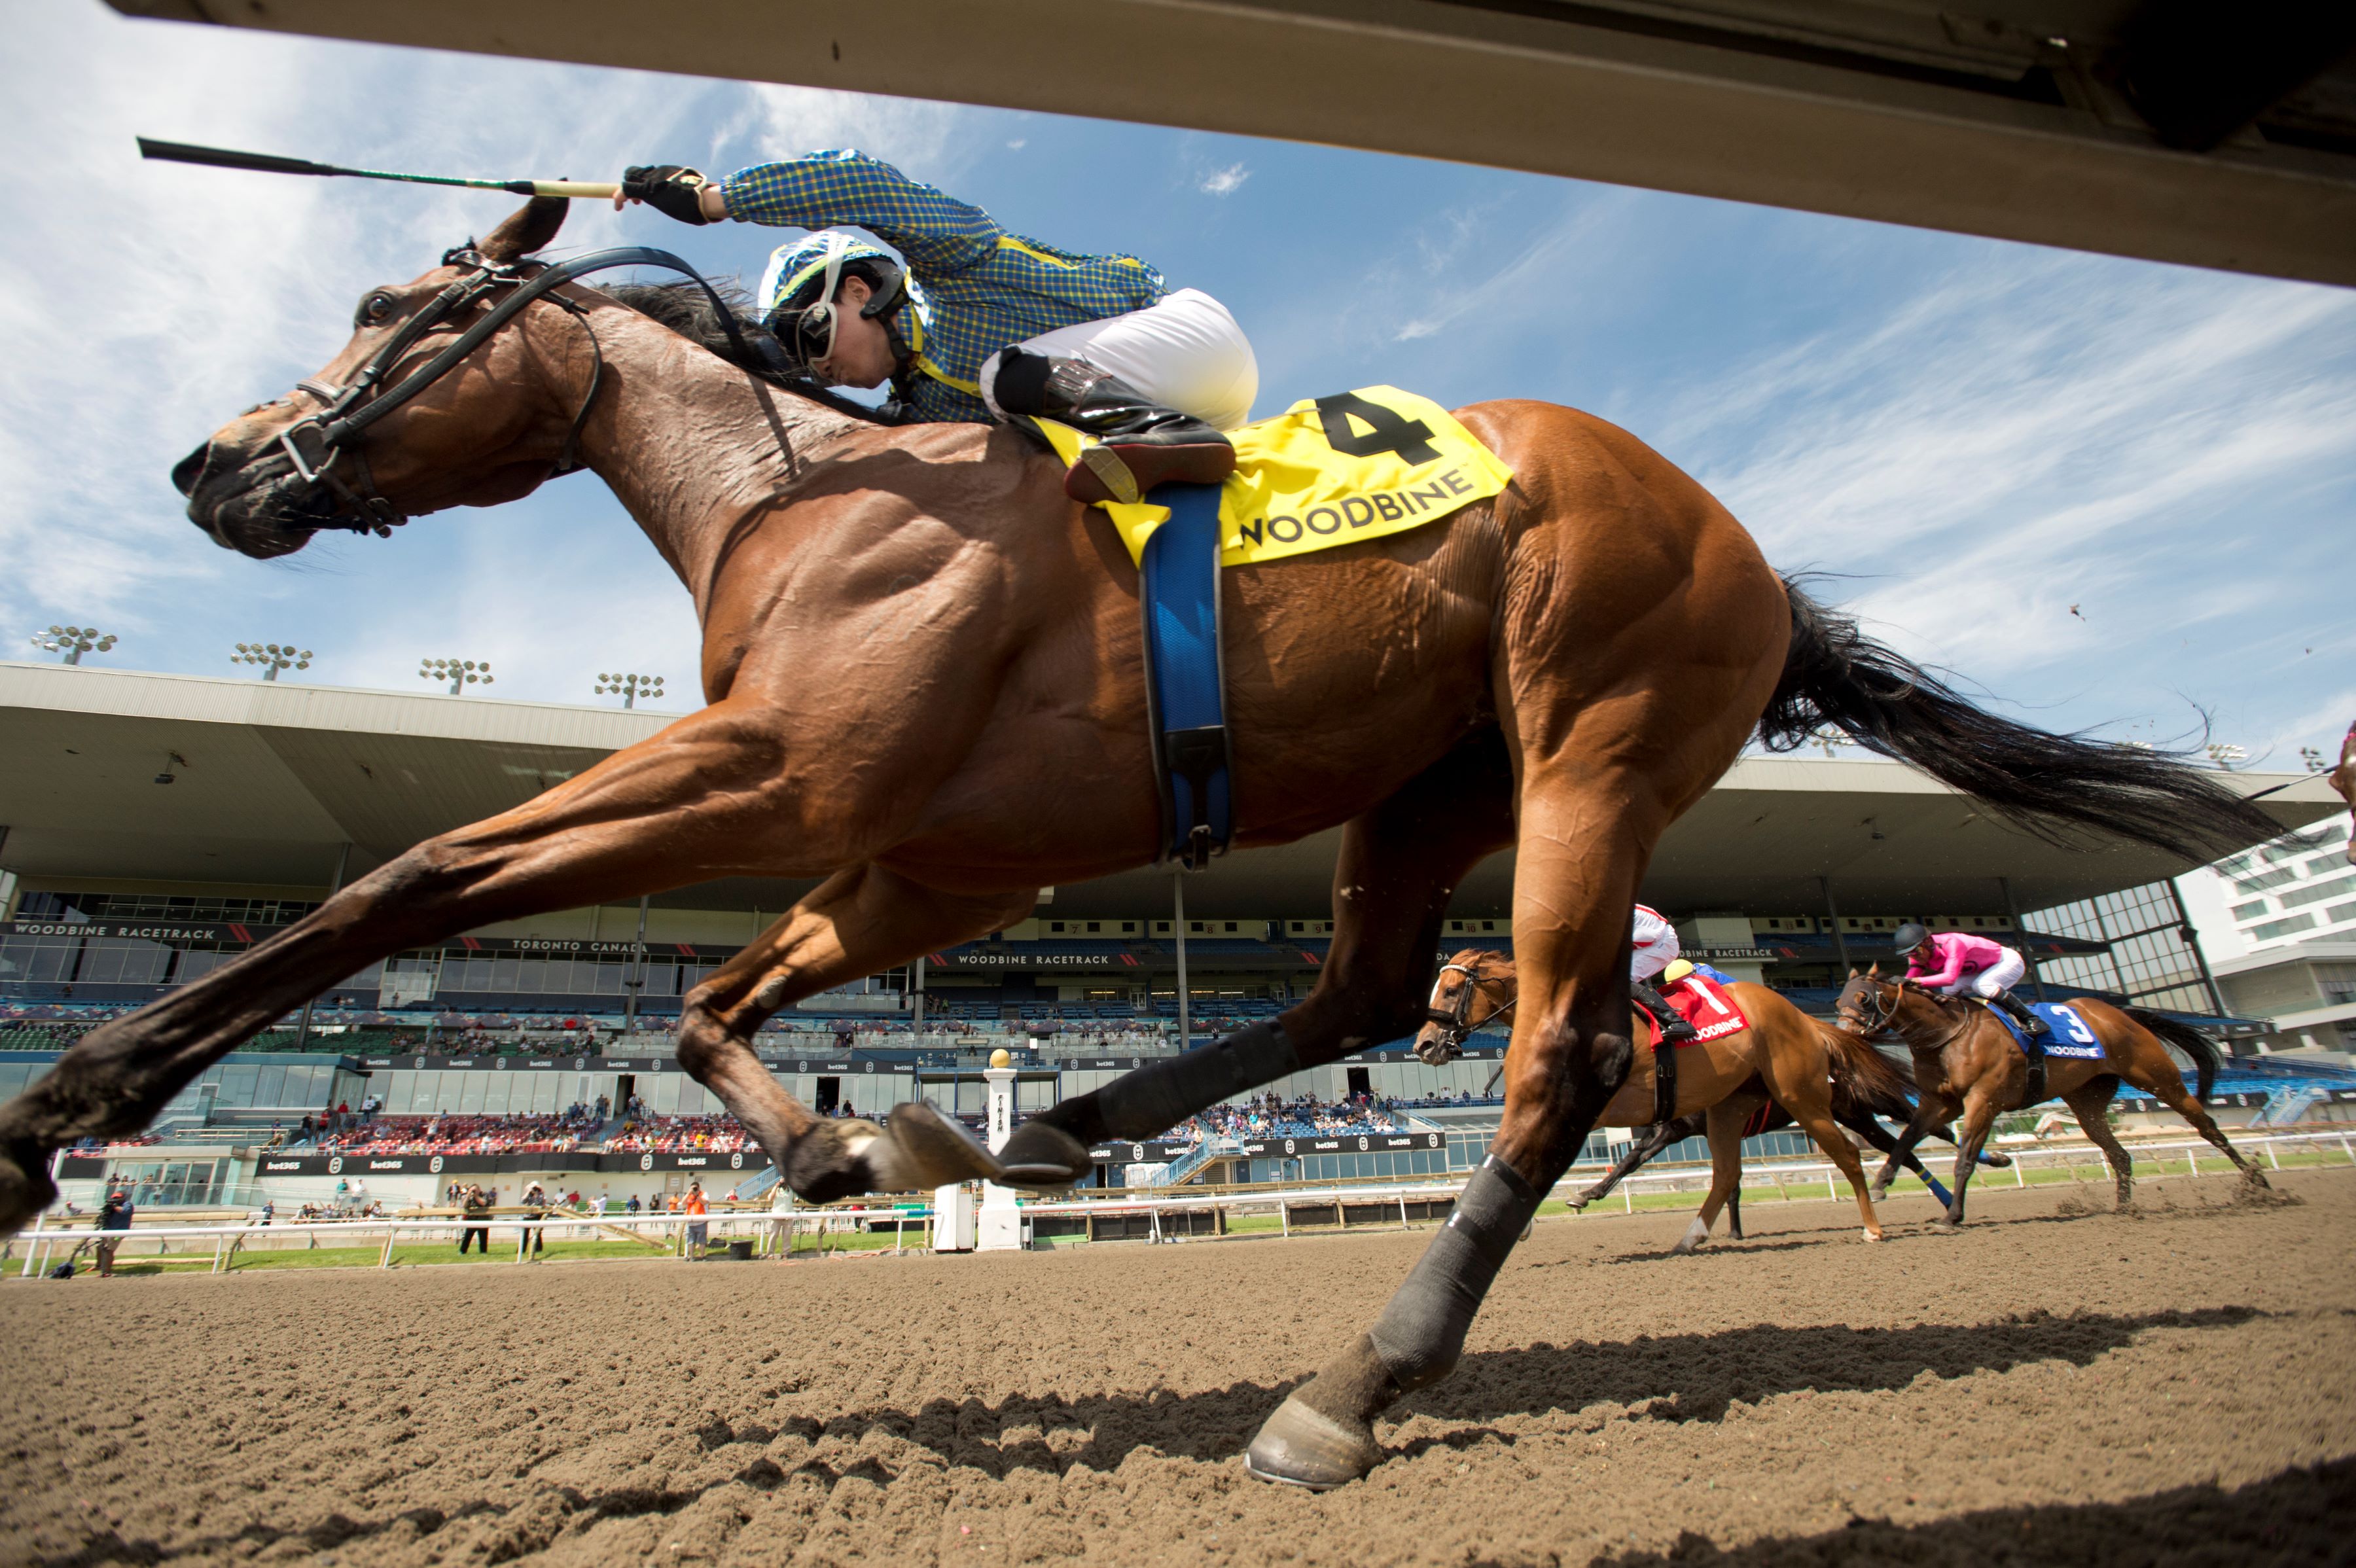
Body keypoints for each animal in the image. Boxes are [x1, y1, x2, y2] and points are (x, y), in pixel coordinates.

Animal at [1828, 965, 2252, 1224]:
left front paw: (1952, 1216)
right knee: (2119, 1155)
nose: (1842, 1037)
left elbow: (1962, 1157)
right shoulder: (1941, 1101)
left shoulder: (1984, 1100)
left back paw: (2256, 1184)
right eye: (1837, 1001)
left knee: (2206, 1126)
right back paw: (2122, 1209)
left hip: (2158, 1077)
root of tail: (2119, 1013)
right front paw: (1882, 1185)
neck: (1947, 1034)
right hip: (2088, 1102)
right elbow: (1907, 1141)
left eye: (1863, 999)